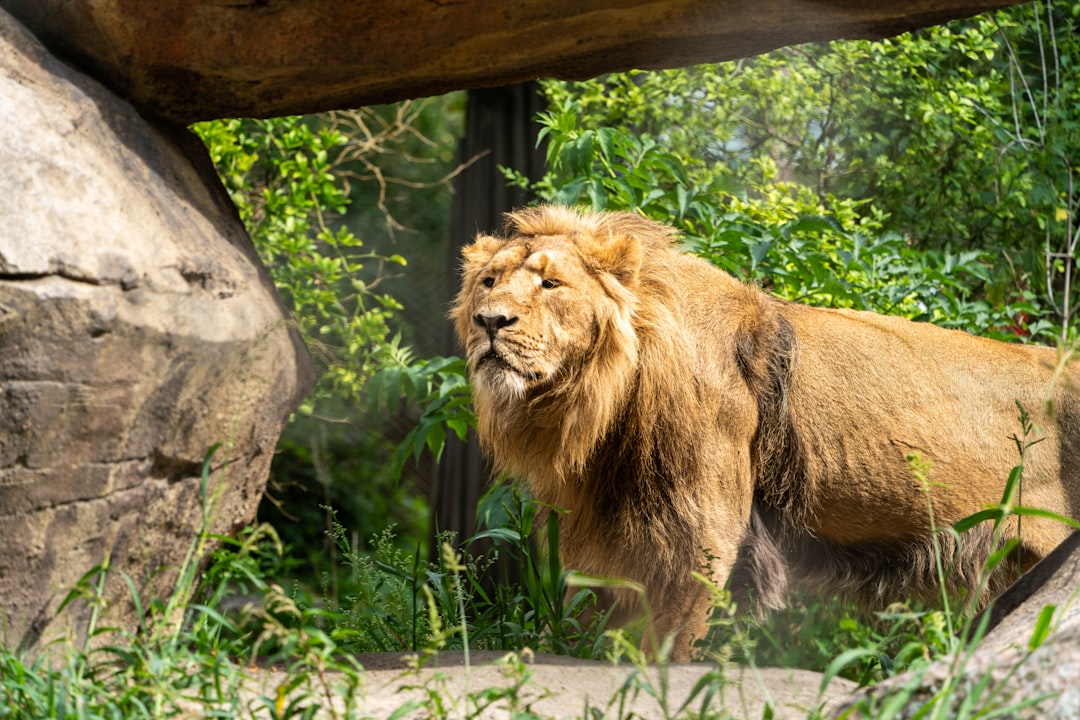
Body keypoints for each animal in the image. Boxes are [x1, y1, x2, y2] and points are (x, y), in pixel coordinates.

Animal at [452, 204, 1080, 662]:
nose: (490, 321)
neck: (597, 405)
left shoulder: (701, 529)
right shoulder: (601, 528)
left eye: (551, 284)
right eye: (489, 282)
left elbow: (668, 641)